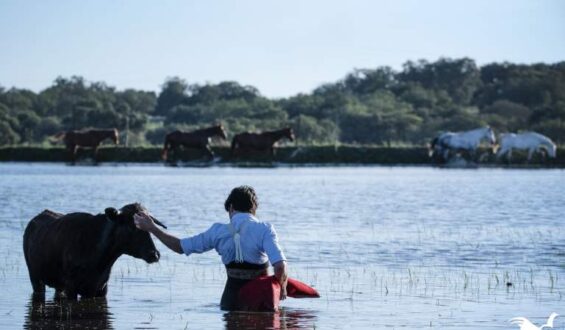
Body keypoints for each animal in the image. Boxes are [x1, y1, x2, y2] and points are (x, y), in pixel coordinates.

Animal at [24, 204, 165, 300]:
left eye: (150, 227)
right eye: (132, 226)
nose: (154, 254)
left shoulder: (101, 288)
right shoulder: (71, 287)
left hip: (57, 284)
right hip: (34, 277)